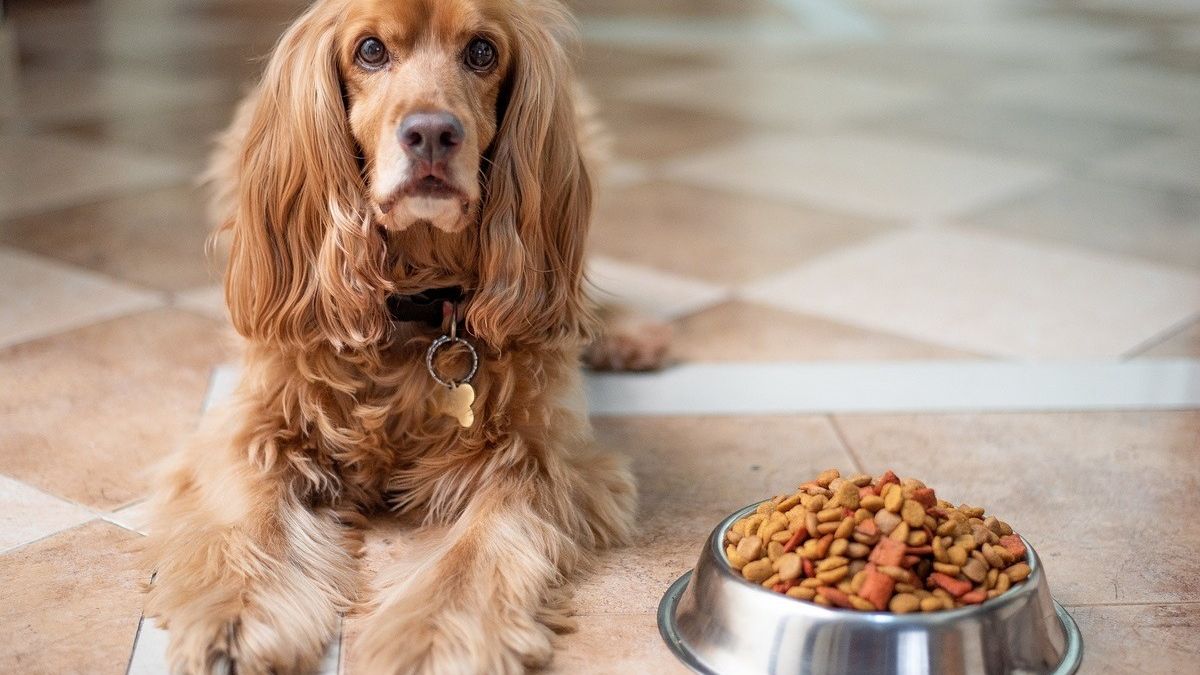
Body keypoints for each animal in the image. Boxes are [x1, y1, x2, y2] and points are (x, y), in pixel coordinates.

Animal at [146, 2, 667, 667]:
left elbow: (476, 554)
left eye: (481, 51)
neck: (416, 303)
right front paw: (234, 617)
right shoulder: (254, 426)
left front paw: (433, 638)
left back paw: (622, 332)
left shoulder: (541, 458)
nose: (432, 135)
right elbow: (252, 518)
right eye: (370, 50)